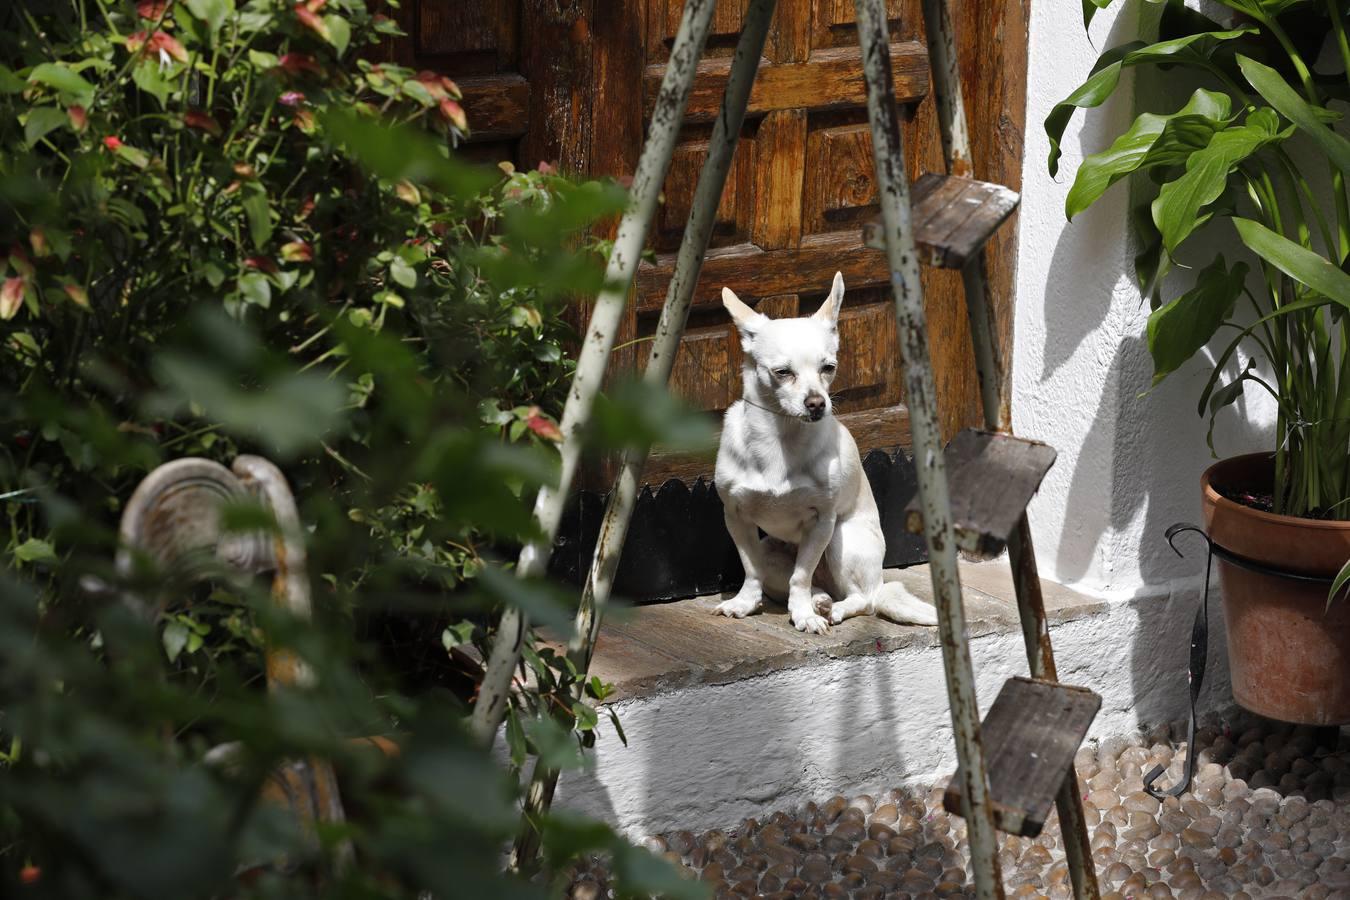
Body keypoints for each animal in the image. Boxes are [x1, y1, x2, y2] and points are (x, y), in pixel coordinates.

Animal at [707, 275, 939, 634]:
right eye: (782, 372)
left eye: (828, 368)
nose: (817, 403)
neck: (781, 439)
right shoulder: (736, 516)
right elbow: (752, 569)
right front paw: (744, 603)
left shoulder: (822, 522)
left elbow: (801, 575)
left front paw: (803, 616)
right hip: (772, 551)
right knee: (801, 580)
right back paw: (820, 601)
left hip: (842, 539)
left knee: (862, 599)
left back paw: (833, 608)